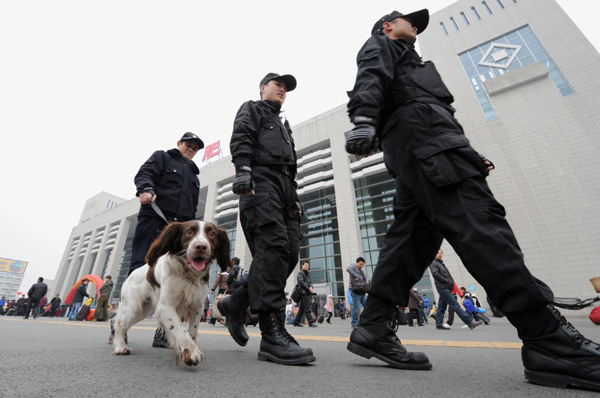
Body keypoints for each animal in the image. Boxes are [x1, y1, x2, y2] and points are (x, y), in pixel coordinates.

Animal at [111, 221, 229, 366]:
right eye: (189, 232)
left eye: (212, 234)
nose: (201, 246)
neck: (187, 275)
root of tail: (130, 275)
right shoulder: (165, 306)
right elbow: (179, 328)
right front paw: (191, 351)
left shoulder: (197, 306)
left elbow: (192, 330)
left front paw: (189, 349)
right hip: (133, 309)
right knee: (119, 325)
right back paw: (120, 346)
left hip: (142, 311)